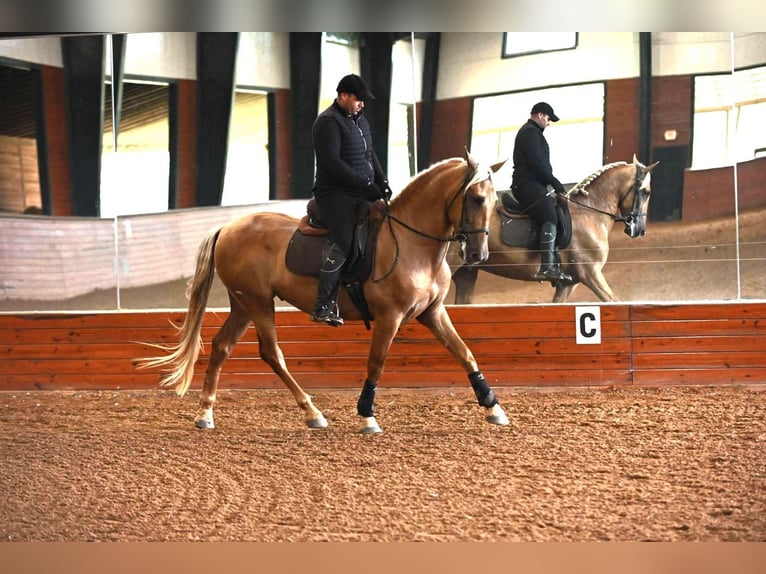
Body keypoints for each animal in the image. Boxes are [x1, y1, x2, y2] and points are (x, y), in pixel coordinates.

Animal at [137, 149, 509, 434]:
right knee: (272, 354)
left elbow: (465, 353)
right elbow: (376, 364)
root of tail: (227, 227)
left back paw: (206, 414)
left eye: (495, 203)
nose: (478, 255)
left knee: (221, 346)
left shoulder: (433, 312)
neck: (412, 243)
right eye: (476, 198)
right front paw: (367, 416)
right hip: (258, 302)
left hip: (243, 303)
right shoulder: (389, 317)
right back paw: (312, 412)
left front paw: (493, 407)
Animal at [450, 155, 659, 304]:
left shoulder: (568, 283)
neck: (590, 212)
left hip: (466, 271)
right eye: (645, 192)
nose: (639, 230)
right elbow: (613, 300)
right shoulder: (591, 274)